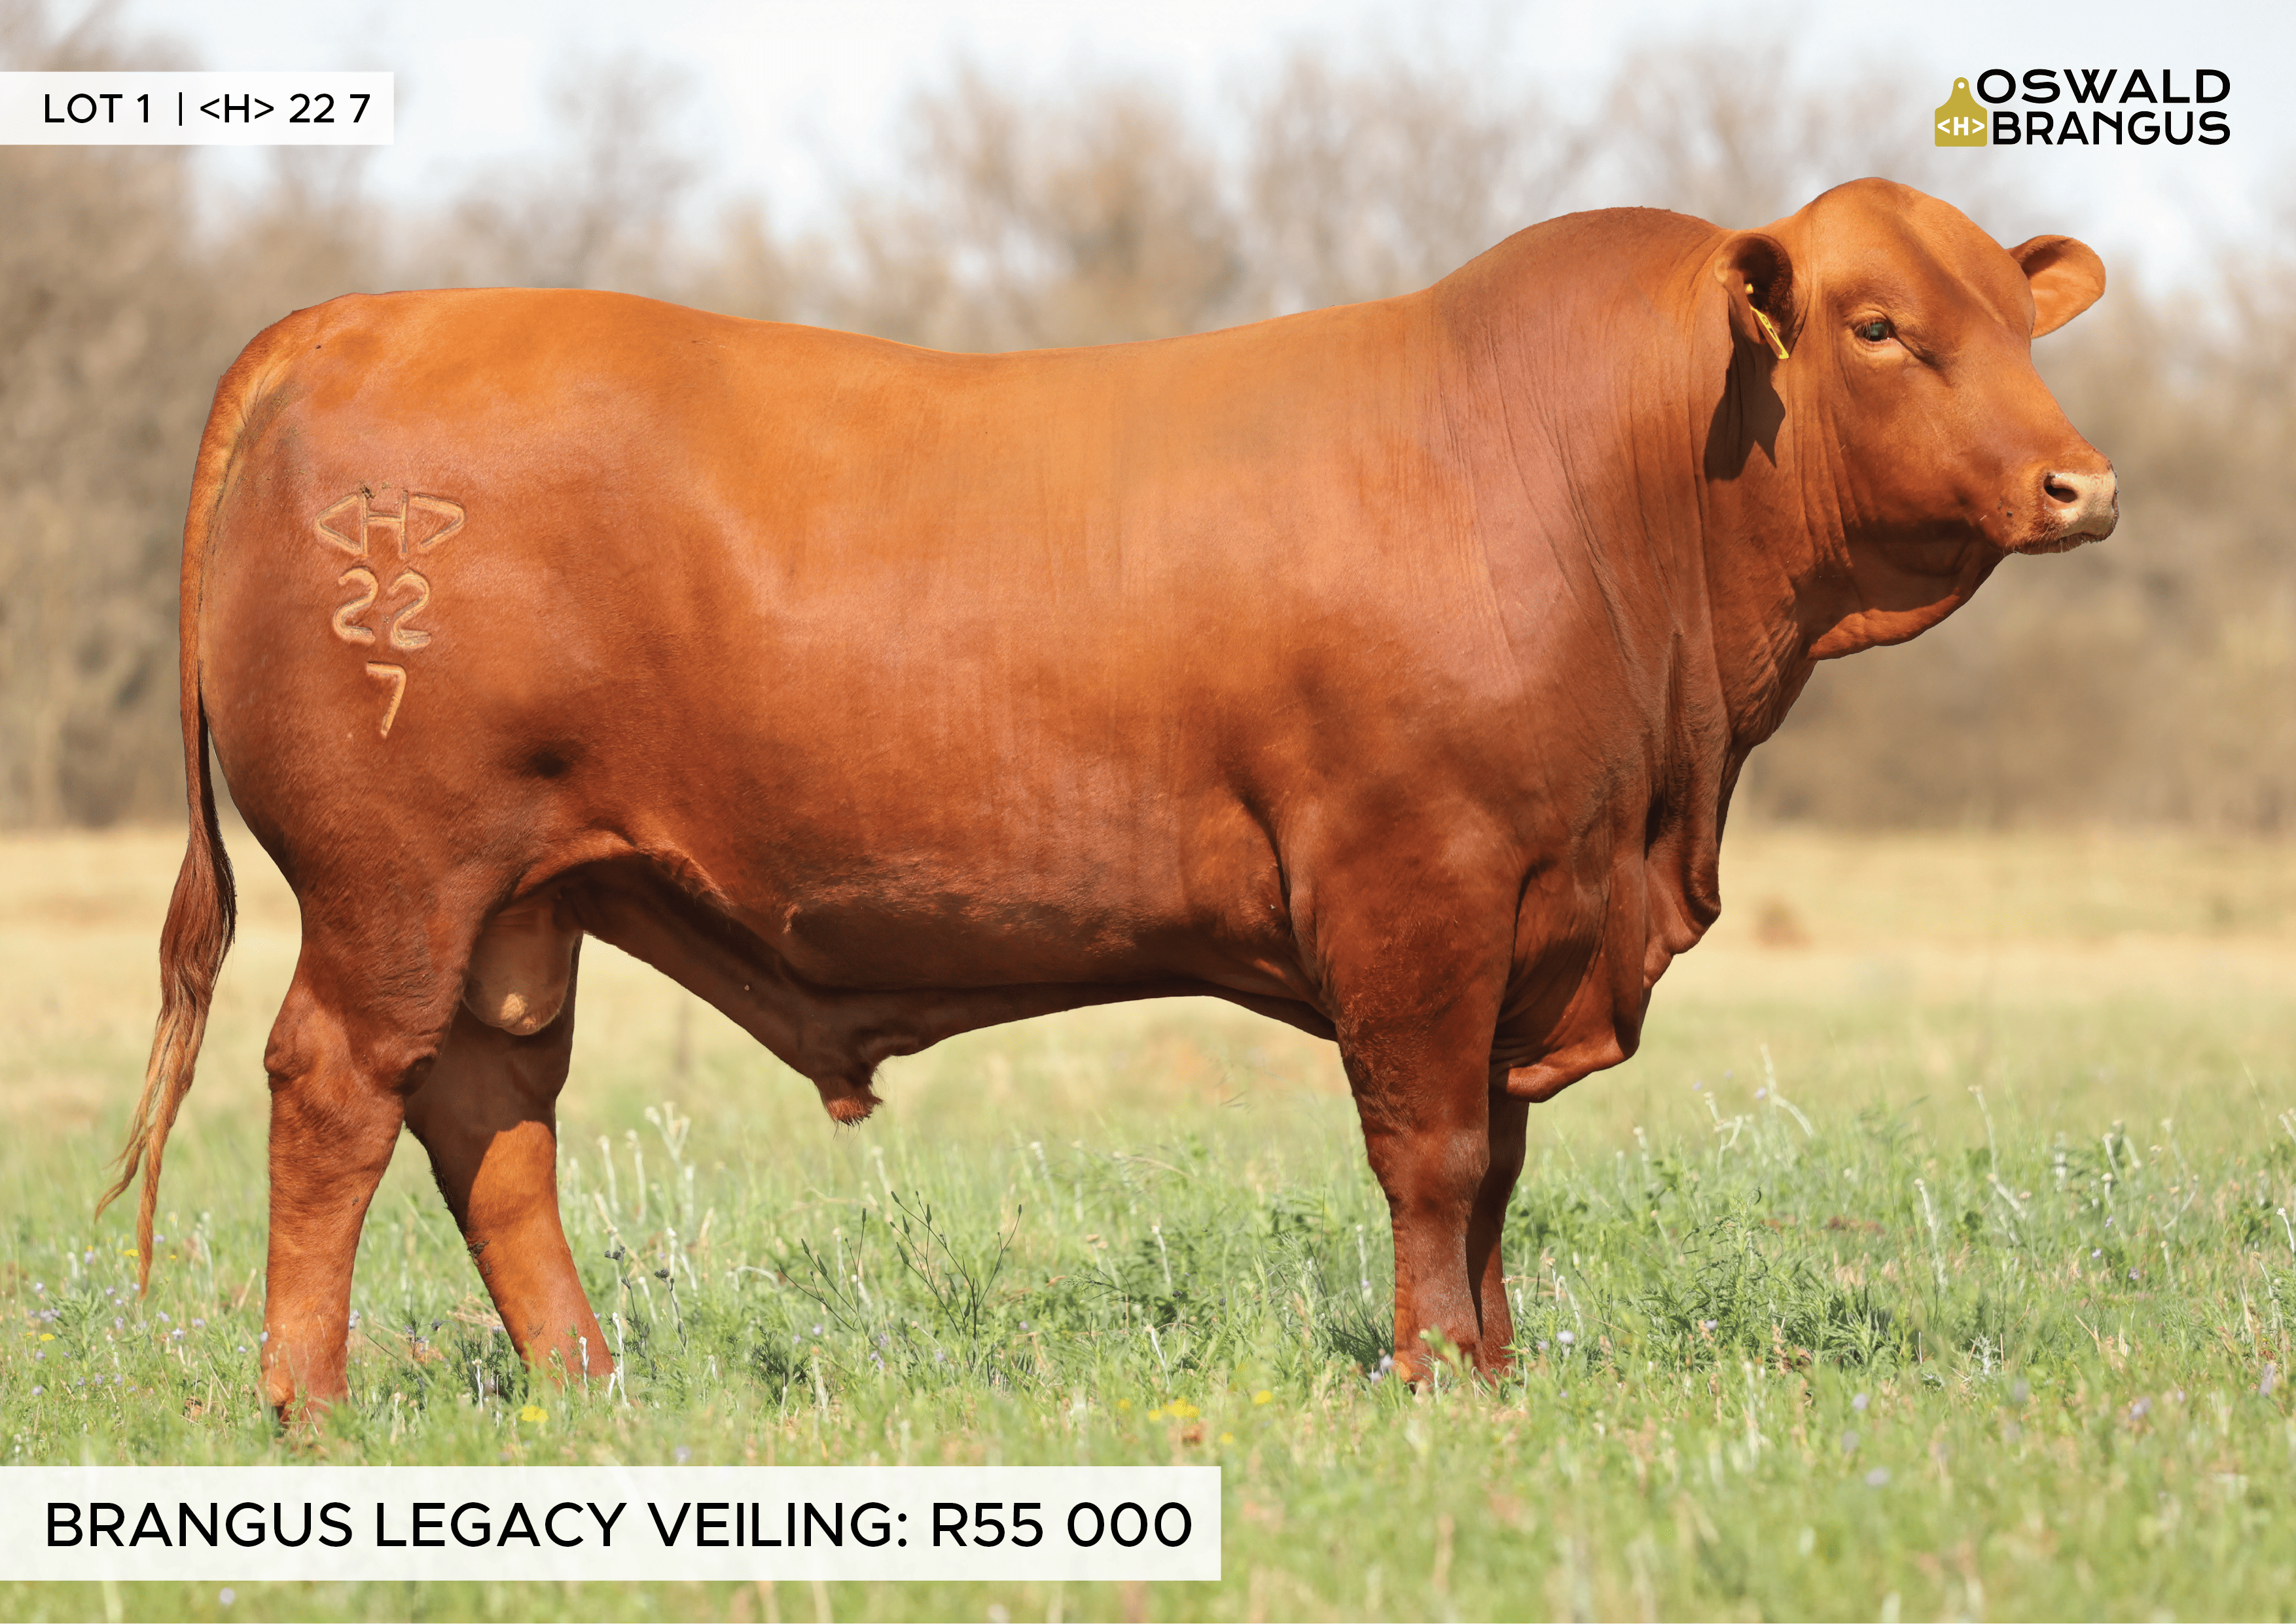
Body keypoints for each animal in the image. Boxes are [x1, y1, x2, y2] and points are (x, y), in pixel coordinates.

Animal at [106, 178, 2114, 1420]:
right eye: (1876, 326)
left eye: (2020, 322)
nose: (2082, 484)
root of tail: (359, 318)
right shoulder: (1416, 881)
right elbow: (1437, 1153)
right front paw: (1428, 1381)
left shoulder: (1521, 914)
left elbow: (1497, 1165)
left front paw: (1489, 1368)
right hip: (398, 877)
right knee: (337, 1091)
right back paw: (306, 1399)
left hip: (517, 907)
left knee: (490, 1114)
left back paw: (587, 1384)